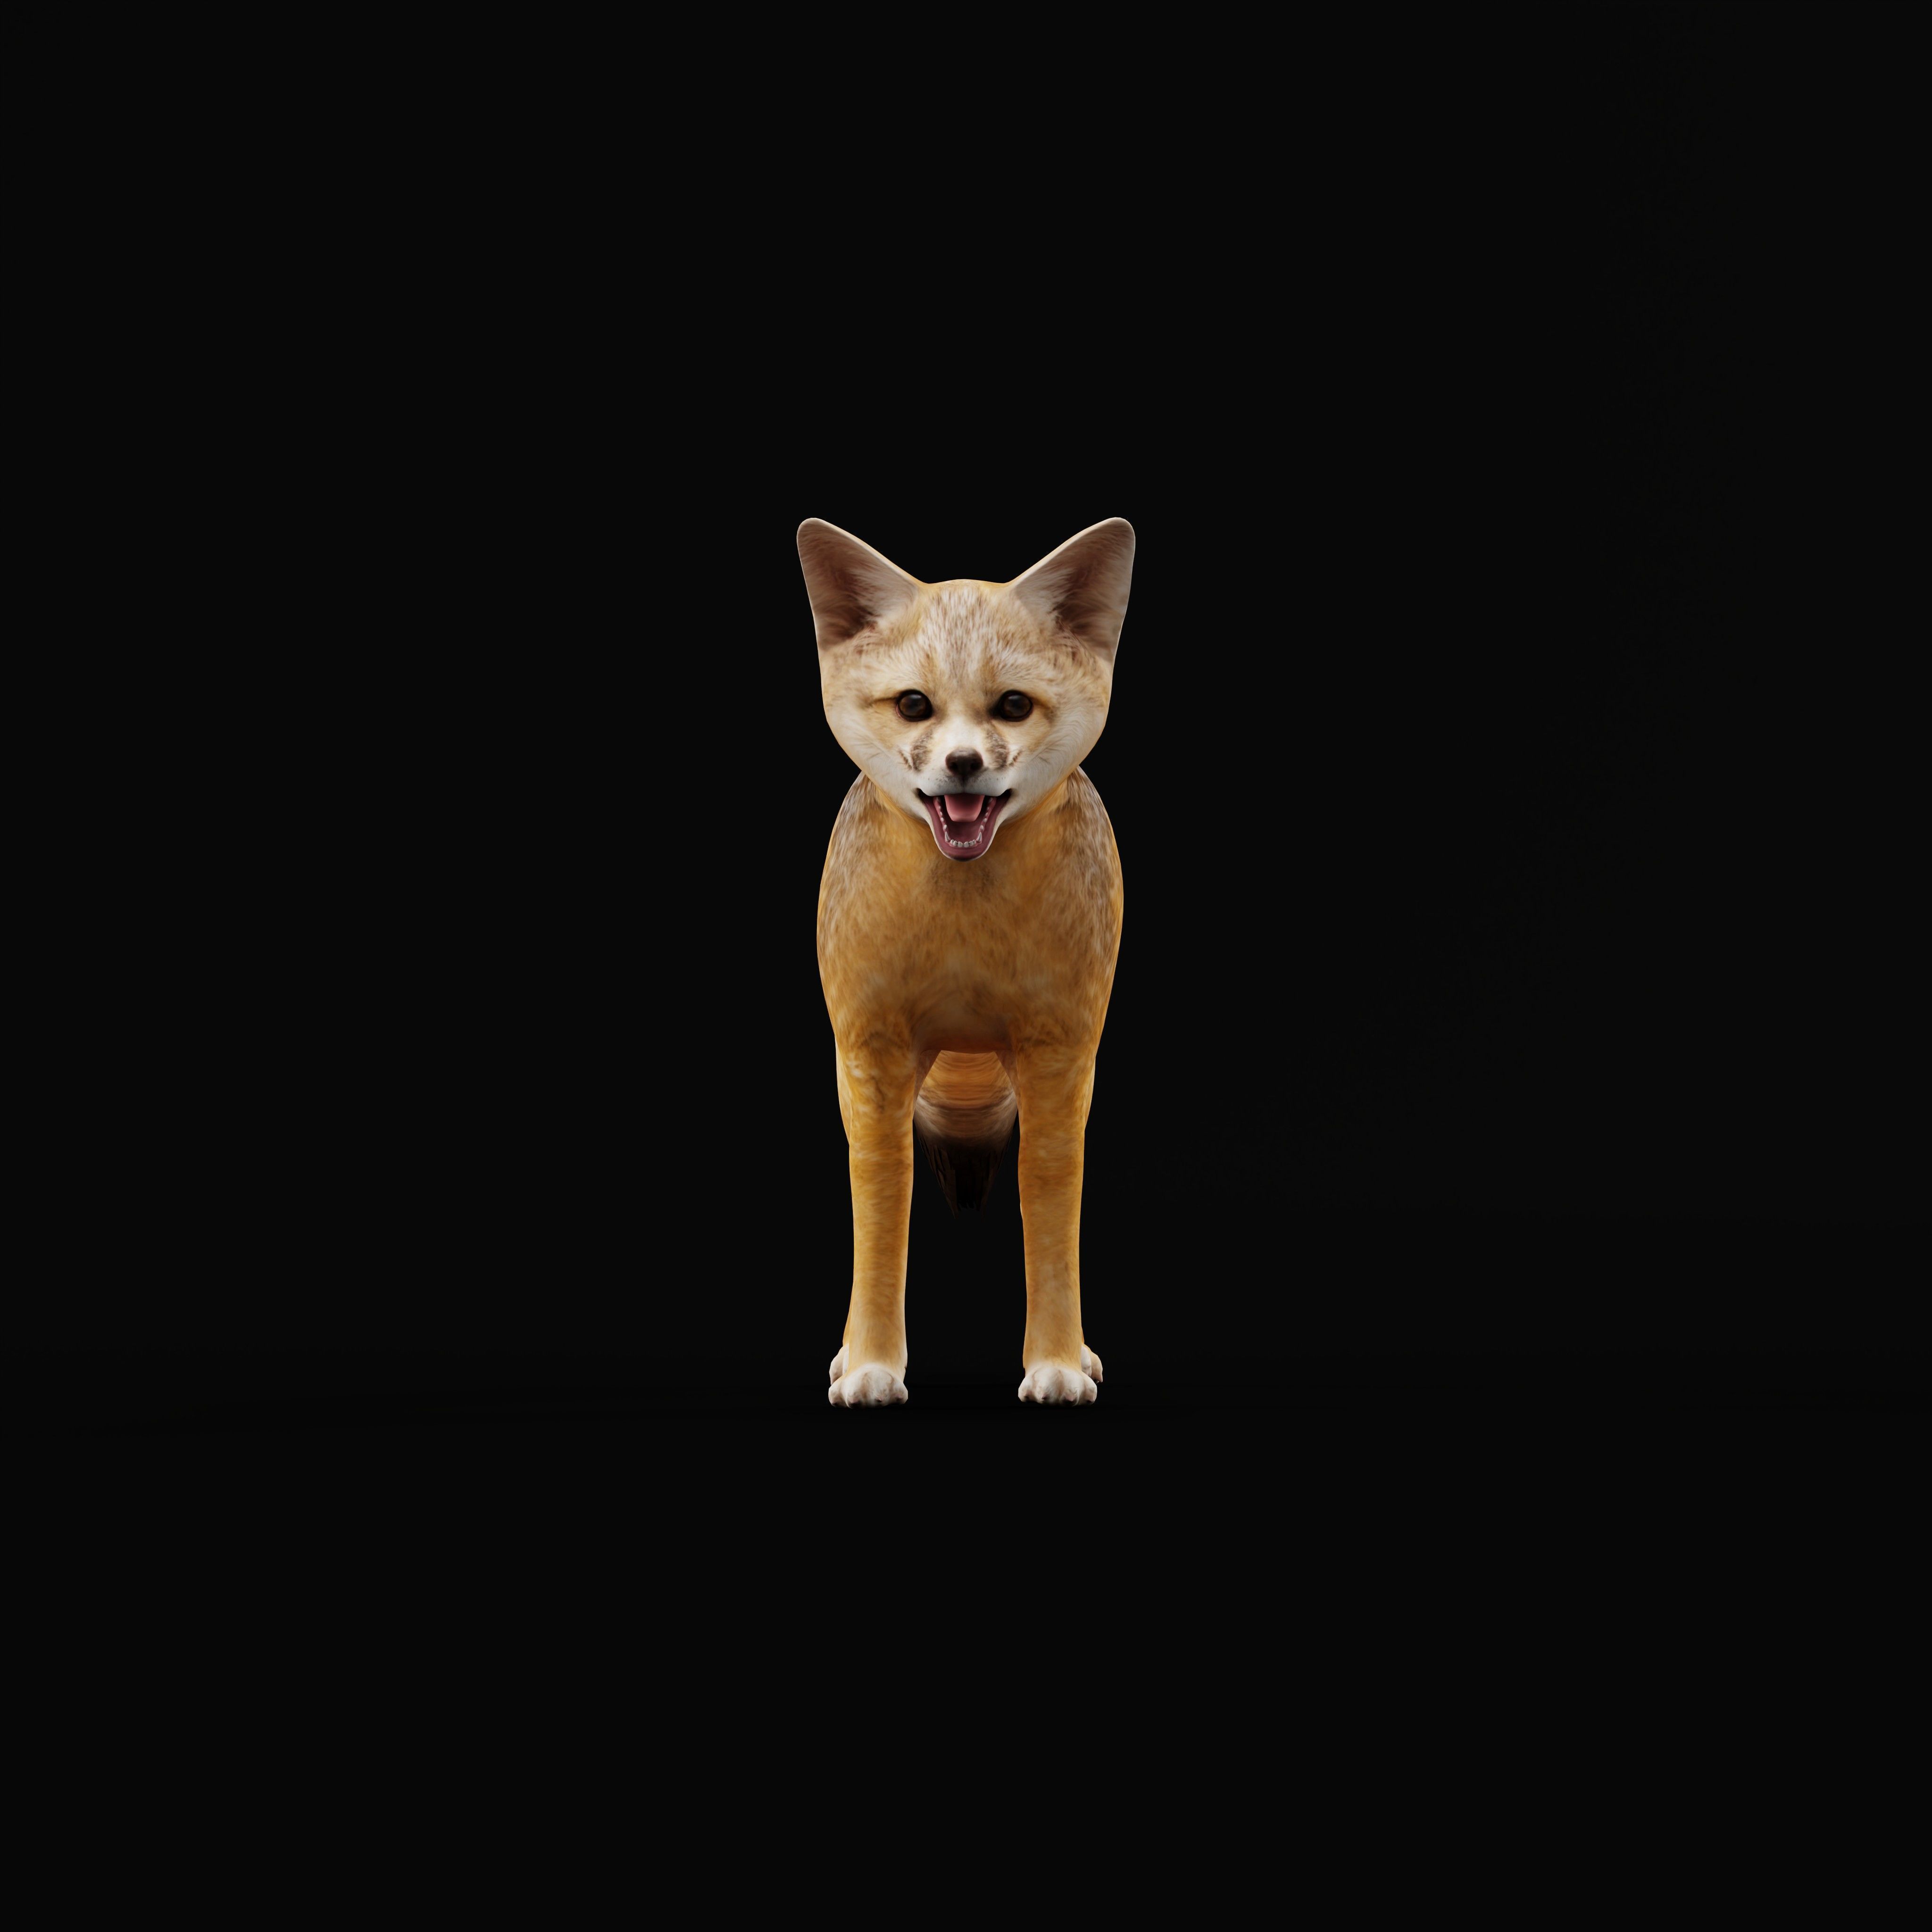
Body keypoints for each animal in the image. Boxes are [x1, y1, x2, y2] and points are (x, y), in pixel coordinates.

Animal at [800, 516, 1135, 1408]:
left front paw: (1056, 1361)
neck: (963, 935)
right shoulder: (871, 1054)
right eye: (915, 705)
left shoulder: (1060, 1055)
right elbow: (882, 1212)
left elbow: (1050, 1207)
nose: (962, 765)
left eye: (1012, 707)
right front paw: (872, 1362)